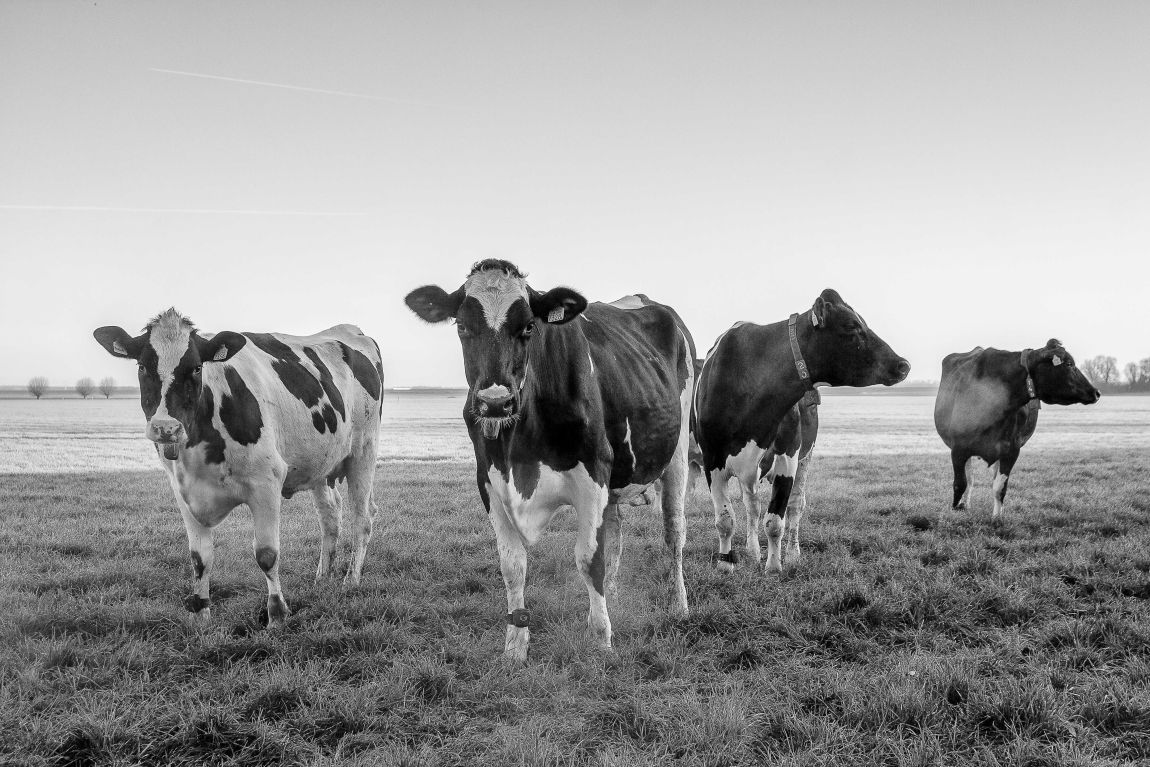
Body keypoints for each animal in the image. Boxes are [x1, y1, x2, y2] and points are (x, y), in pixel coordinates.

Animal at [93, 309, 384, 626]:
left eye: (197, 367)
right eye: (142, 366)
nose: (165, 428)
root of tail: (351, 330)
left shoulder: (266, 482)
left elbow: (267, 554)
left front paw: (277, 614)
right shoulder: (183, 490)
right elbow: (200, 558)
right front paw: (202, 613)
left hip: (364, 451)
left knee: (362, 518)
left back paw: (350, 581)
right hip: (321, 464)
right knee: (331, 516)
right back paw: (322, 578)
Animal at [404, 260, 695, 662]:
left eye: (529, 326)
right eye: (461, 325)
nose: (495, 402)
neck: (519, 450)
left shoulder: (593, 472)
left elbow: (590, 559)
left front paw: (601, 639)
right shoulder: (488, 481)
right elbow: (513, 565)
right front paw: (515, 647)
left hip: (677, 453)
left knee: (674, 532)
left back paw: (679, 605)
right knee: (615, 530)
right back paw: (613, 595)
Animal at [694, 289, 909, 573]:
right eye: (852, 326)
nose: (903, 364)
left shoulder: (787, 457)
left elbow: (775, 521)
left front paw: (774, 567)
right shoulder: (712, 460)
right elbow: (725, 520)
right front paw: (725, 564)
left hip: (805, 457)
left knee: (795, 505)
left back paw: (792, 553)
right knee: (752, 505)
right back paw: (752, 551)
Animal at [934, 339, 1100, 519]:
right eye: (1069, 364)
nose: (1096, 392)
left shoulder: (1011, 450)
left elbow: (999, 488)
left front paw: (997, 518)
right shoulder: (958, 449)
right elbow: (960, 484)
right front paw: (955, 511)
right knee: (970, 478)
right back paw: (965, 504)